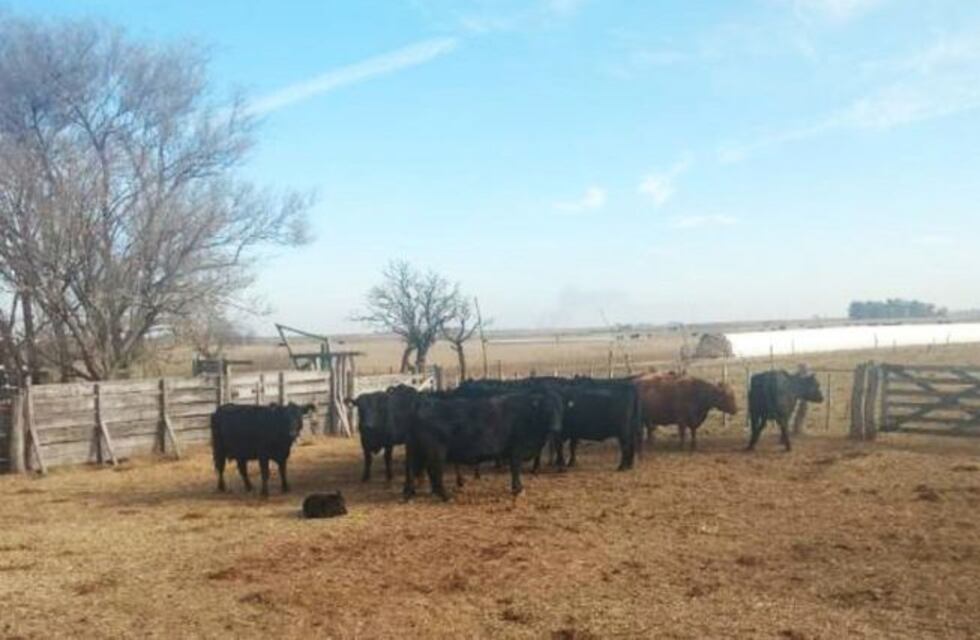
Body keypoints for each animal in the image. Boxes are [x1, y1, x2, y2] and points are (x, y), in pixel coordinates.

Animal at [403, 390, 563, 501]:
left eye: (559, 408)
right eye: (546, 409)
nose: (556, 428)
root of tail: (422, 404)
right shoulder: (516, 451)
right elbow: (516, 470)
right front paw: (518, 489)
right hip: (436, 452)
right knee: (435, 472)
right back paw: (446, 496)